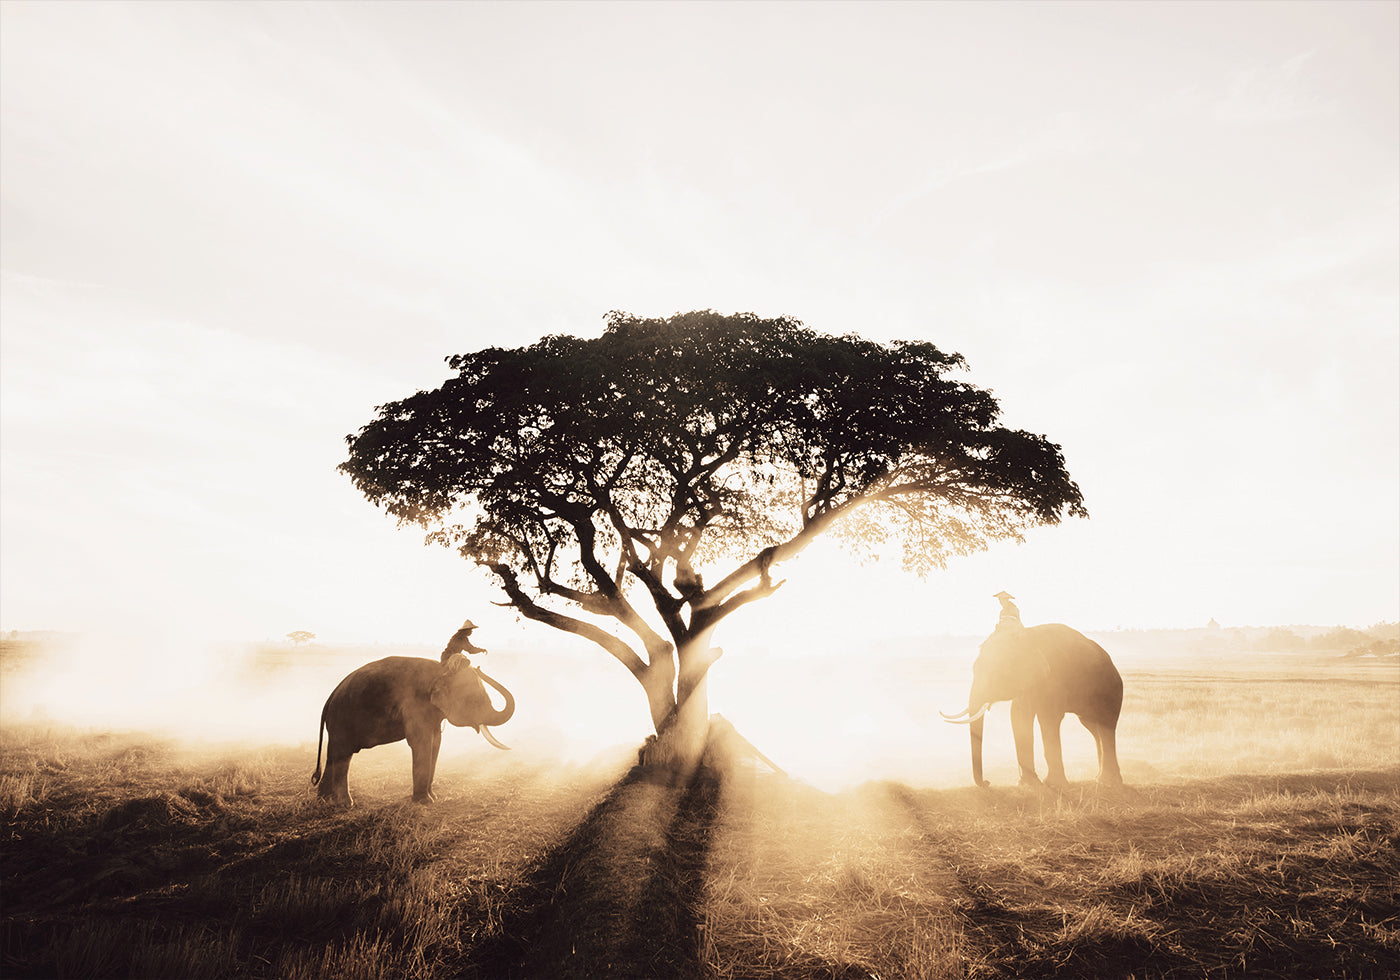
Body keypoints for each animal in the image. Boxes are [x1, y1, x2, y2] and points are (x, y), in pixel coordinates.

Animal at [312, 649, 520, 806]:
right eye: (474, 700)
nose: (478, 666)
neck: (441, 671)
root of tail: (330, 697)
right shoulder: (414, 704)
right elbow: (421, 742)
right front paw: (425, 802)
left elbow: (436, 742)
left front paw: (433, 797)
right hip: (343, 719)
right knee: (343, 755)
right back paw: (346, 804)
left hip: (337, 724)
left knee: (333, 754)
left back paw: (323, 799)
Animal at [940, 624, 1125, 795]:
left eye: (996, 673)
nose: (987, 782)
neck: (1025, 638)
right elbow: (1019, 716)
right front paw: (1028, 784)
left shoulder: (1054, 678)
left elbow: (1049, 718)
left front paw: (1054, 785)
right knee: (1093, 727)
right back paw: (1100, 779)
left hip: (1111, 689)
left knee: (1106, 725)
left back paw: (1107, 782)